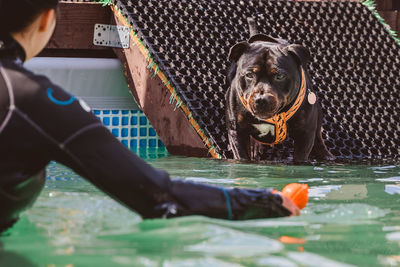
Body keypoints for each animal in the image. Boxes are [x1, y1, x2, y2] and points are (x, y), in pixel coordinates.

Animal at [225, 21, 334, 162]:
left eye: (280, 76)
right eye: (249, 75)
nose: (261, 99)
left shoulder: (305, 134)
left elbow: (300, 157)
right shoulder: (237, 132)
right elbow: (242, 156)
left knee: (318, 136)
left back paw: (325, 154)